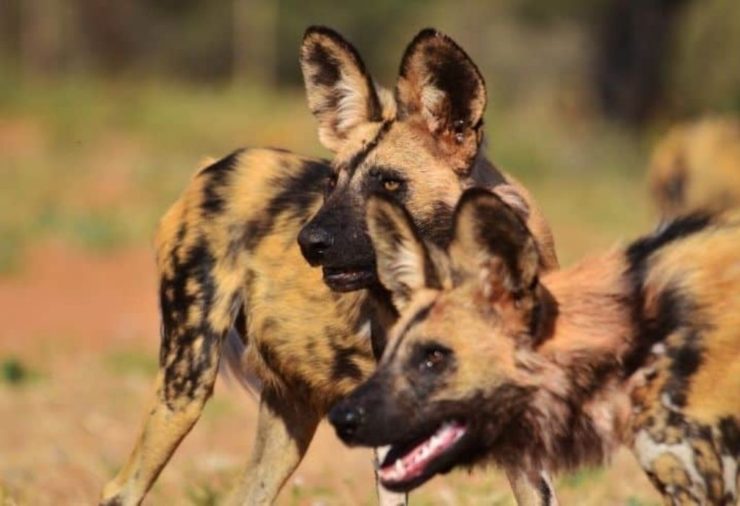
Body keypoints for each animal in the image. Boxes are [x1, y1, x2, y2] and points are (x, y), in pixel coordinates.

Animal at [101, 28, 556, 506]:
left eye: (388, 184)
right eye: (331, 182)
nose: (310, 242)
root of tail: (215, 166)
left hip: (288, 415)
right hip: (186, 381)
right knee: (121, 488)